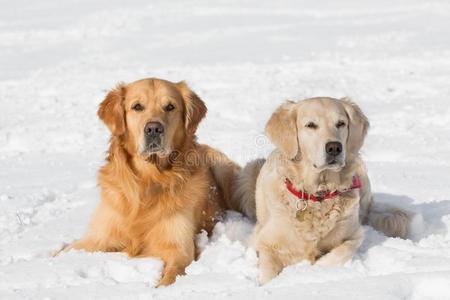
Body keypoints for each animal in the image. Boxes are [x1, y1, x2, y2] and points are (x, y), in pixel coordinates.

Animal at [237, 98, 410, 284]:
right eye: (311, 125)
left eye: (341, 123)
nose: (334, 147)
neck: (318, 194)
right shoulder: (264, 241)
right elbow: (268, 272)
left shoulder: (355, 234)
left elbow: (341, 252)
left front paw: (315, 271)